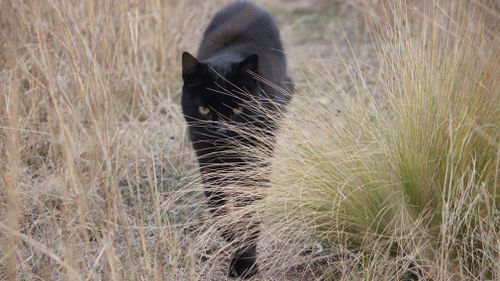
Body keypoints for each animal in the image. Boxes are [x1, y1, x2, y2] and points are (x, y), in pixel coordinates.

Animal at [181, 1, 292, 278]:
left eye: (238, 109)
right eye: (204, 110)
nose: (221, 130)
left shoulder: (256, 167)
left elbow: (250, 214)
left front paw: (245, 264)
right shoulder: (209, 168)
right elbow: (221, 214)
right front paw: (235, 249)